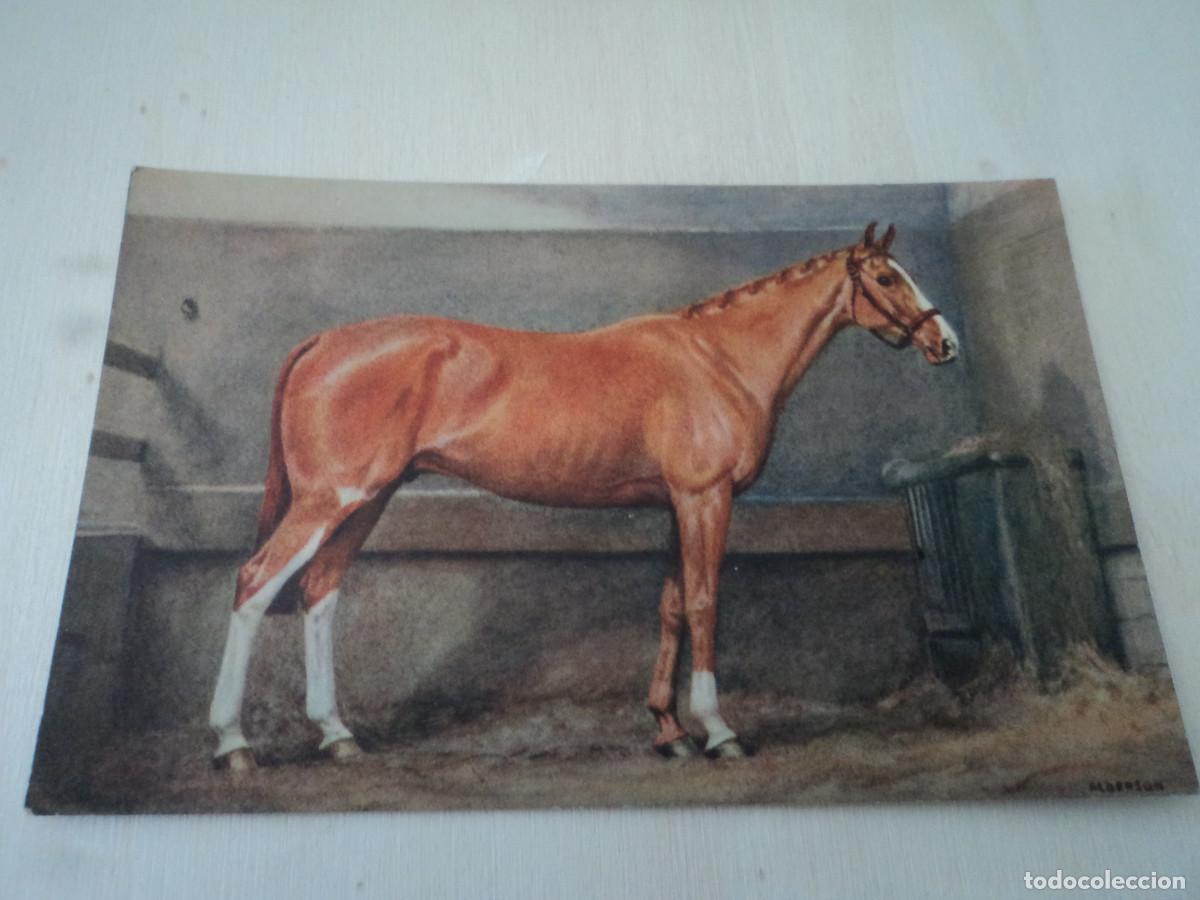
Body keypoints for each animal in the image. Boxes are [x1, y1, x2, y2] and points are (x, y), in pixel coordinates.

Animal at [208, 221, 959, 770]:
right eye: (887, 277)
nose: (945, 342)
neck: (716, 359)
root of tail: (324, 341)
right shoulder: (705, 498)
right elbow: (706, 602)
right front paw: (718, 732)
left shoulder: (677, 504)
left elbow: (672, 607)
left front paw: (669, 732)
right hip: (329, 501)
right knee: (254, 583)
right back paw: (233, 744)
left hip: (366, 501)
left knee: (320, 591)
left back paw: (338, 736)